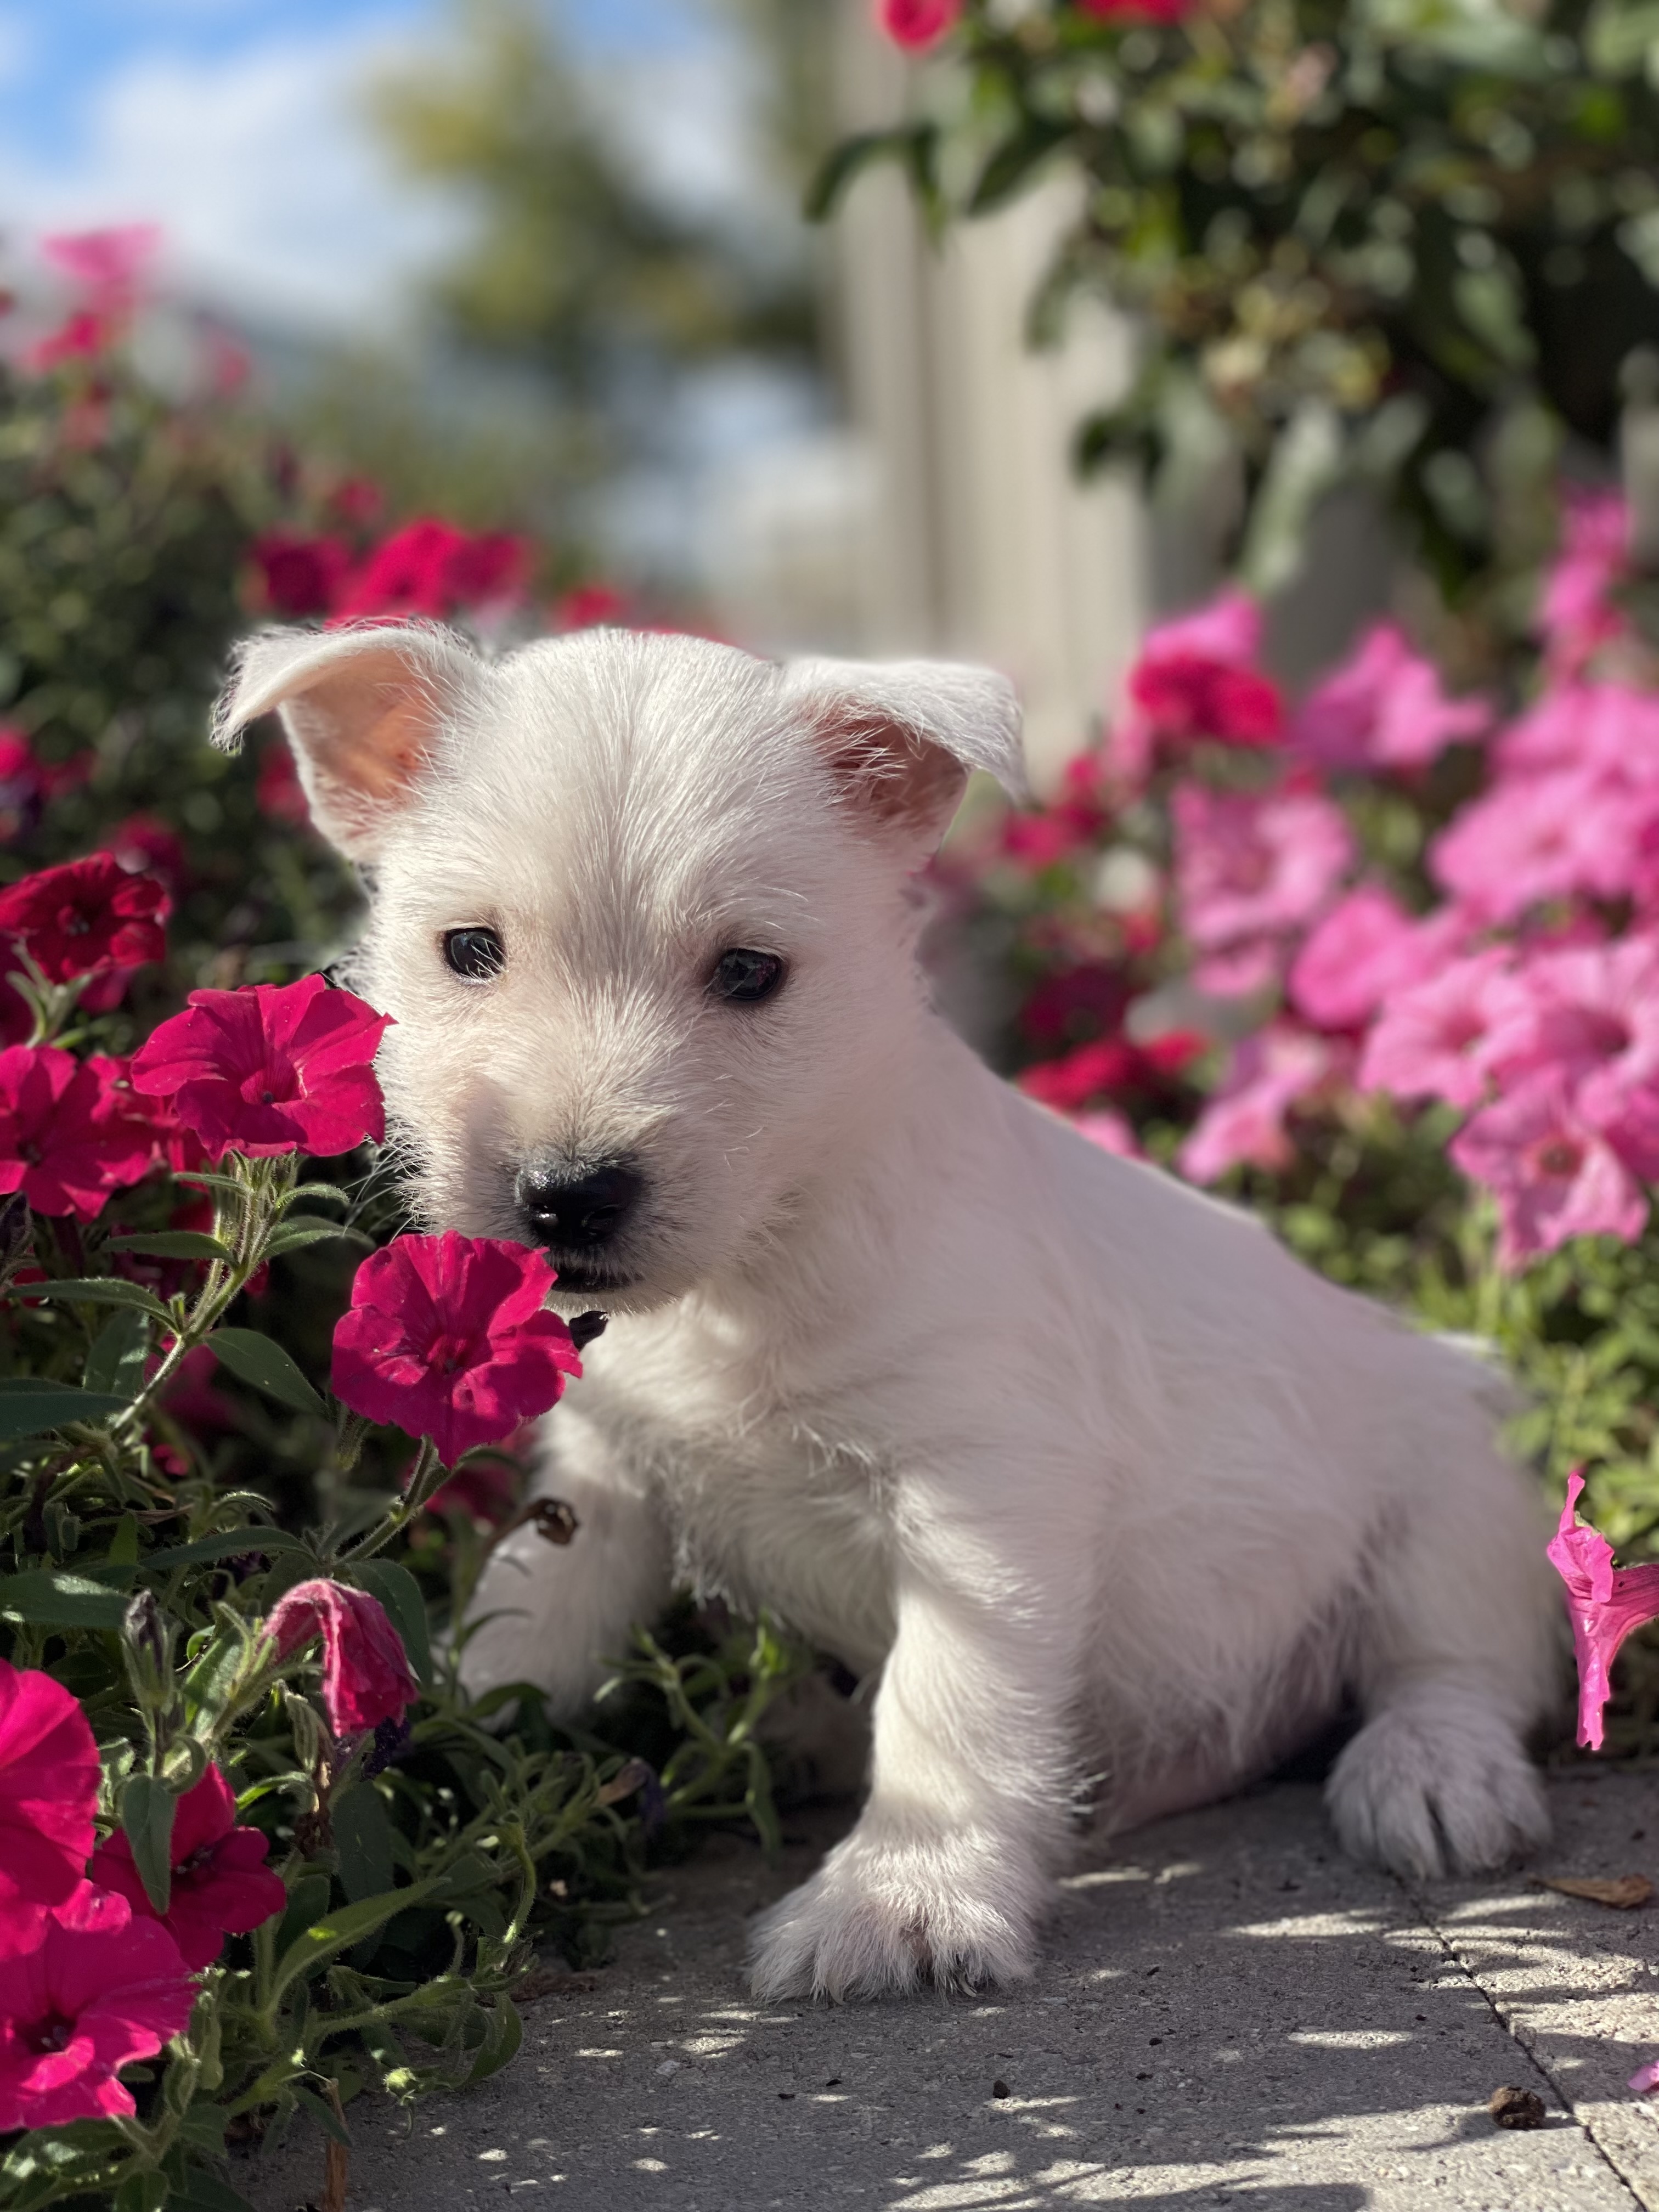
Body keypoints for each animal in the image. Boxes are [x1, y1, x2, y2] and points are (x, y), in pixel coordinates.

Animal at [218, 619, 1557, 2008]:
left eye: (750, 972)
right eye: (469, 950)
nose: (567, 1195)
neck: (756, 1266)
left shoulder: (989, 1494)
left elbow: (947, 1703)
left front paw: (899, 1902)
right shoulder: (605, 1484)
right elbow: (532, 1616)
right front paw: (436, 1752)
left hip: (1452, 1499)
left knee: (1461, 1663)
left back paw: (1433, 1773)